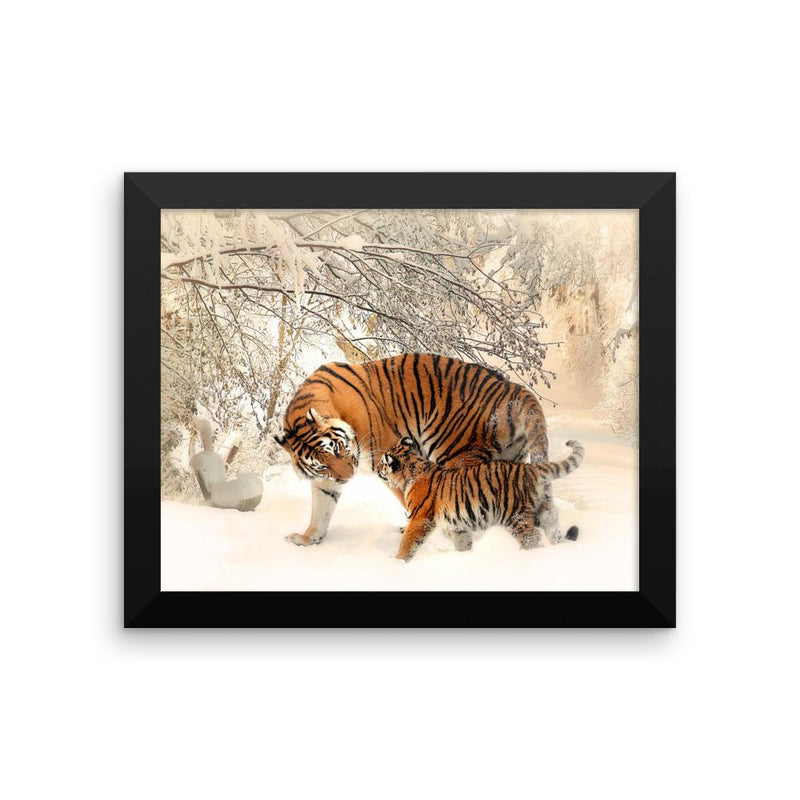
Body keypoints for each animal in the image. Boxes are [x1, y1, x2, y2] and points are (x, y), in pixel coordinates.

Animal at [273, 353, 550, 547]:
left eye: (339, 449)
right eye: (322, 465)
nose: (348, 477)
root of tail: (514, 388)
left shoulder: (386, 455)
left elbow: (408, 498)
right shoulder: (325, 480)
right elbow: (321, 508)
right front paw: (308, 538)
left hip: (455, 454)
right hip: (508, 459)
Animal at [377, 437, 583, 561]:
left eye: (382, 463)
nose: (378, 470)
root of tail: (531, 468)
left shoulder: (420, 519)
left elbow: (408, 543)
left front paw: (398, 562)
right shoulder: (457, 525)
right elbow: (462, 542)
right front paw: (465, 557)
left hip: (514, 515)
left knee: (532, 537)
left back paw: (522, 555)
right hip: (544, 509)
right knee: (553, 527)